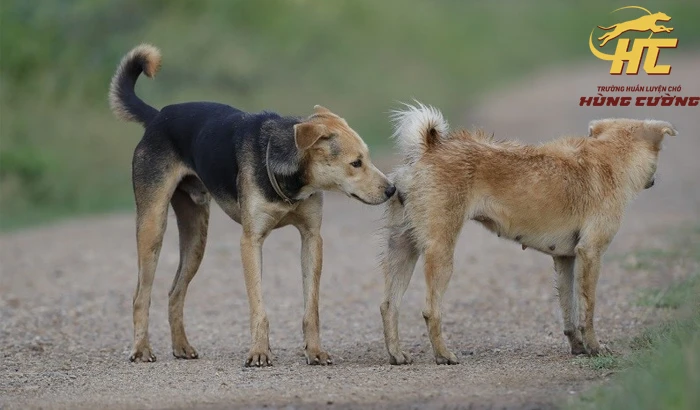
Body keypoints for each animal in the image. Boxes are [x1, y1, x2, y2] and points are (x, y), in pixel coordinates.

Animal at [108, 44, 394, 366]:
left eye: (367, 158)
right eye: (356, 163)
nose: (392, 189)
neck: (290, 181)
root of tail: (157, 117)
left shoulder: (312, 238)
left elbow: (312, 307)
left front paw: (315, 351)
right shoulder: (251, 241)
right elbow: (259, 307)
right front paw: (258, 352)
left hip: (196, 238)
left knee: (175, 292)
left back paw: (182, 347)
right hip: (153, 227)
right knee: (141, 296)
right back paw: (141, 349)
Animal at [380, 103, 676, 366]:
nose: (653, 181)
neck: (609, 156)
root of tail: (428, 147)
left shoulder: (565, 259)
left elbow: (569, 312)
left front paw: (578, 347)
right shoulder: (591, 253)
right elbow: (588, 310)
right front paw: (594, 348)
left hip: (402, 249)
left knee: (389, 305)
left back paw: (397, 355)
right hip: (441, 253)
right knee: (430, 310)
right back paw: (444, 355)